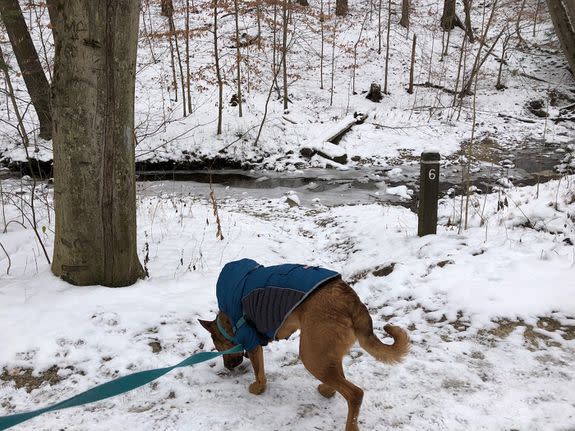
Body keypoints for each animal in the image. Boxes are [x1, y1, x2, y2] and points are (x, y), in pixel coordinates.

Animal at [200, 276, 412, 431]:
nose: (228, 367)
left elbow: (259, 372)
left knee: (355, 393)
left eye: (219, 348)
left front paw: (258, 388)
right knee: (339, 380)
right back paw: (326, 389)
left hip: (311, 356)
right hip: (323, 352)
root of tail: (351, 300)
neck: (228, 320)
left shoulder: (252, 341)